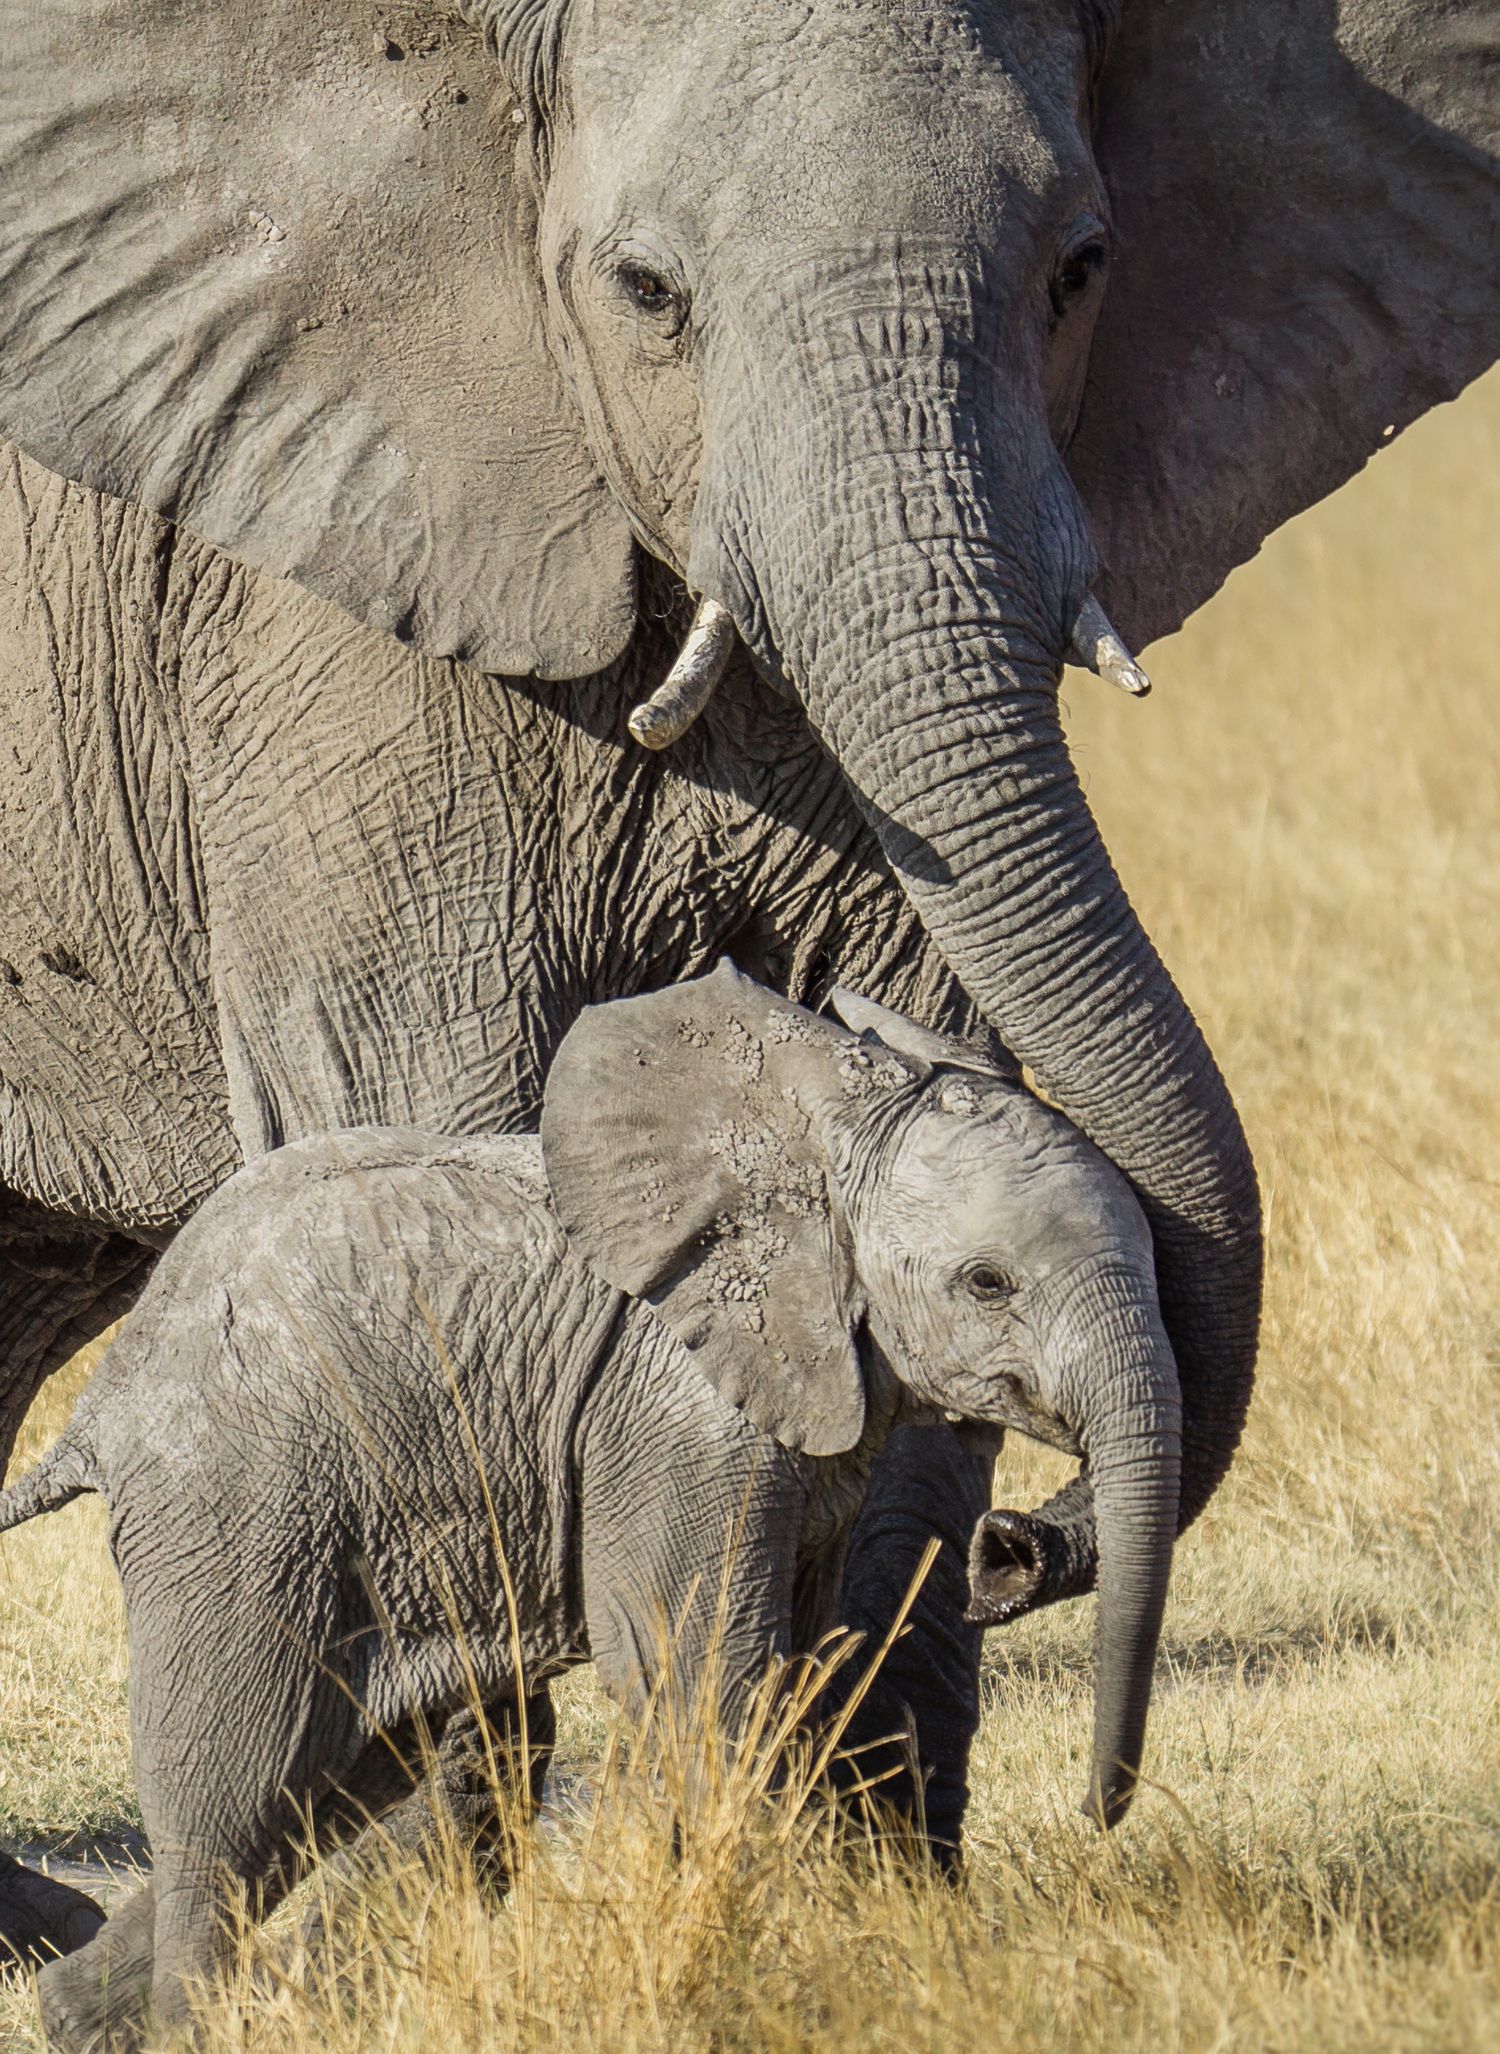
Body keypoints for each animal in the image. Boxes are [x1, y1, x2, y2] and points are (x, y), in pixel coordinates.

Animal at [0, 966, 1175, 2048]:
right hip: (237, 1492)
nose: (1005, 1547)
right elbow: (702, 1672)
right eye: (988, 1284)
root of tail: (106, 1397)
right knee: (236, 1782)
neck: (811, 1140)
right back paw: (188, 2024)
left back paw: (73, 2011)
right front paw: (800, 1967)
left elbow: (793, 1671)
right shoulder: (675, 1411)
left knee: (342, 1769)